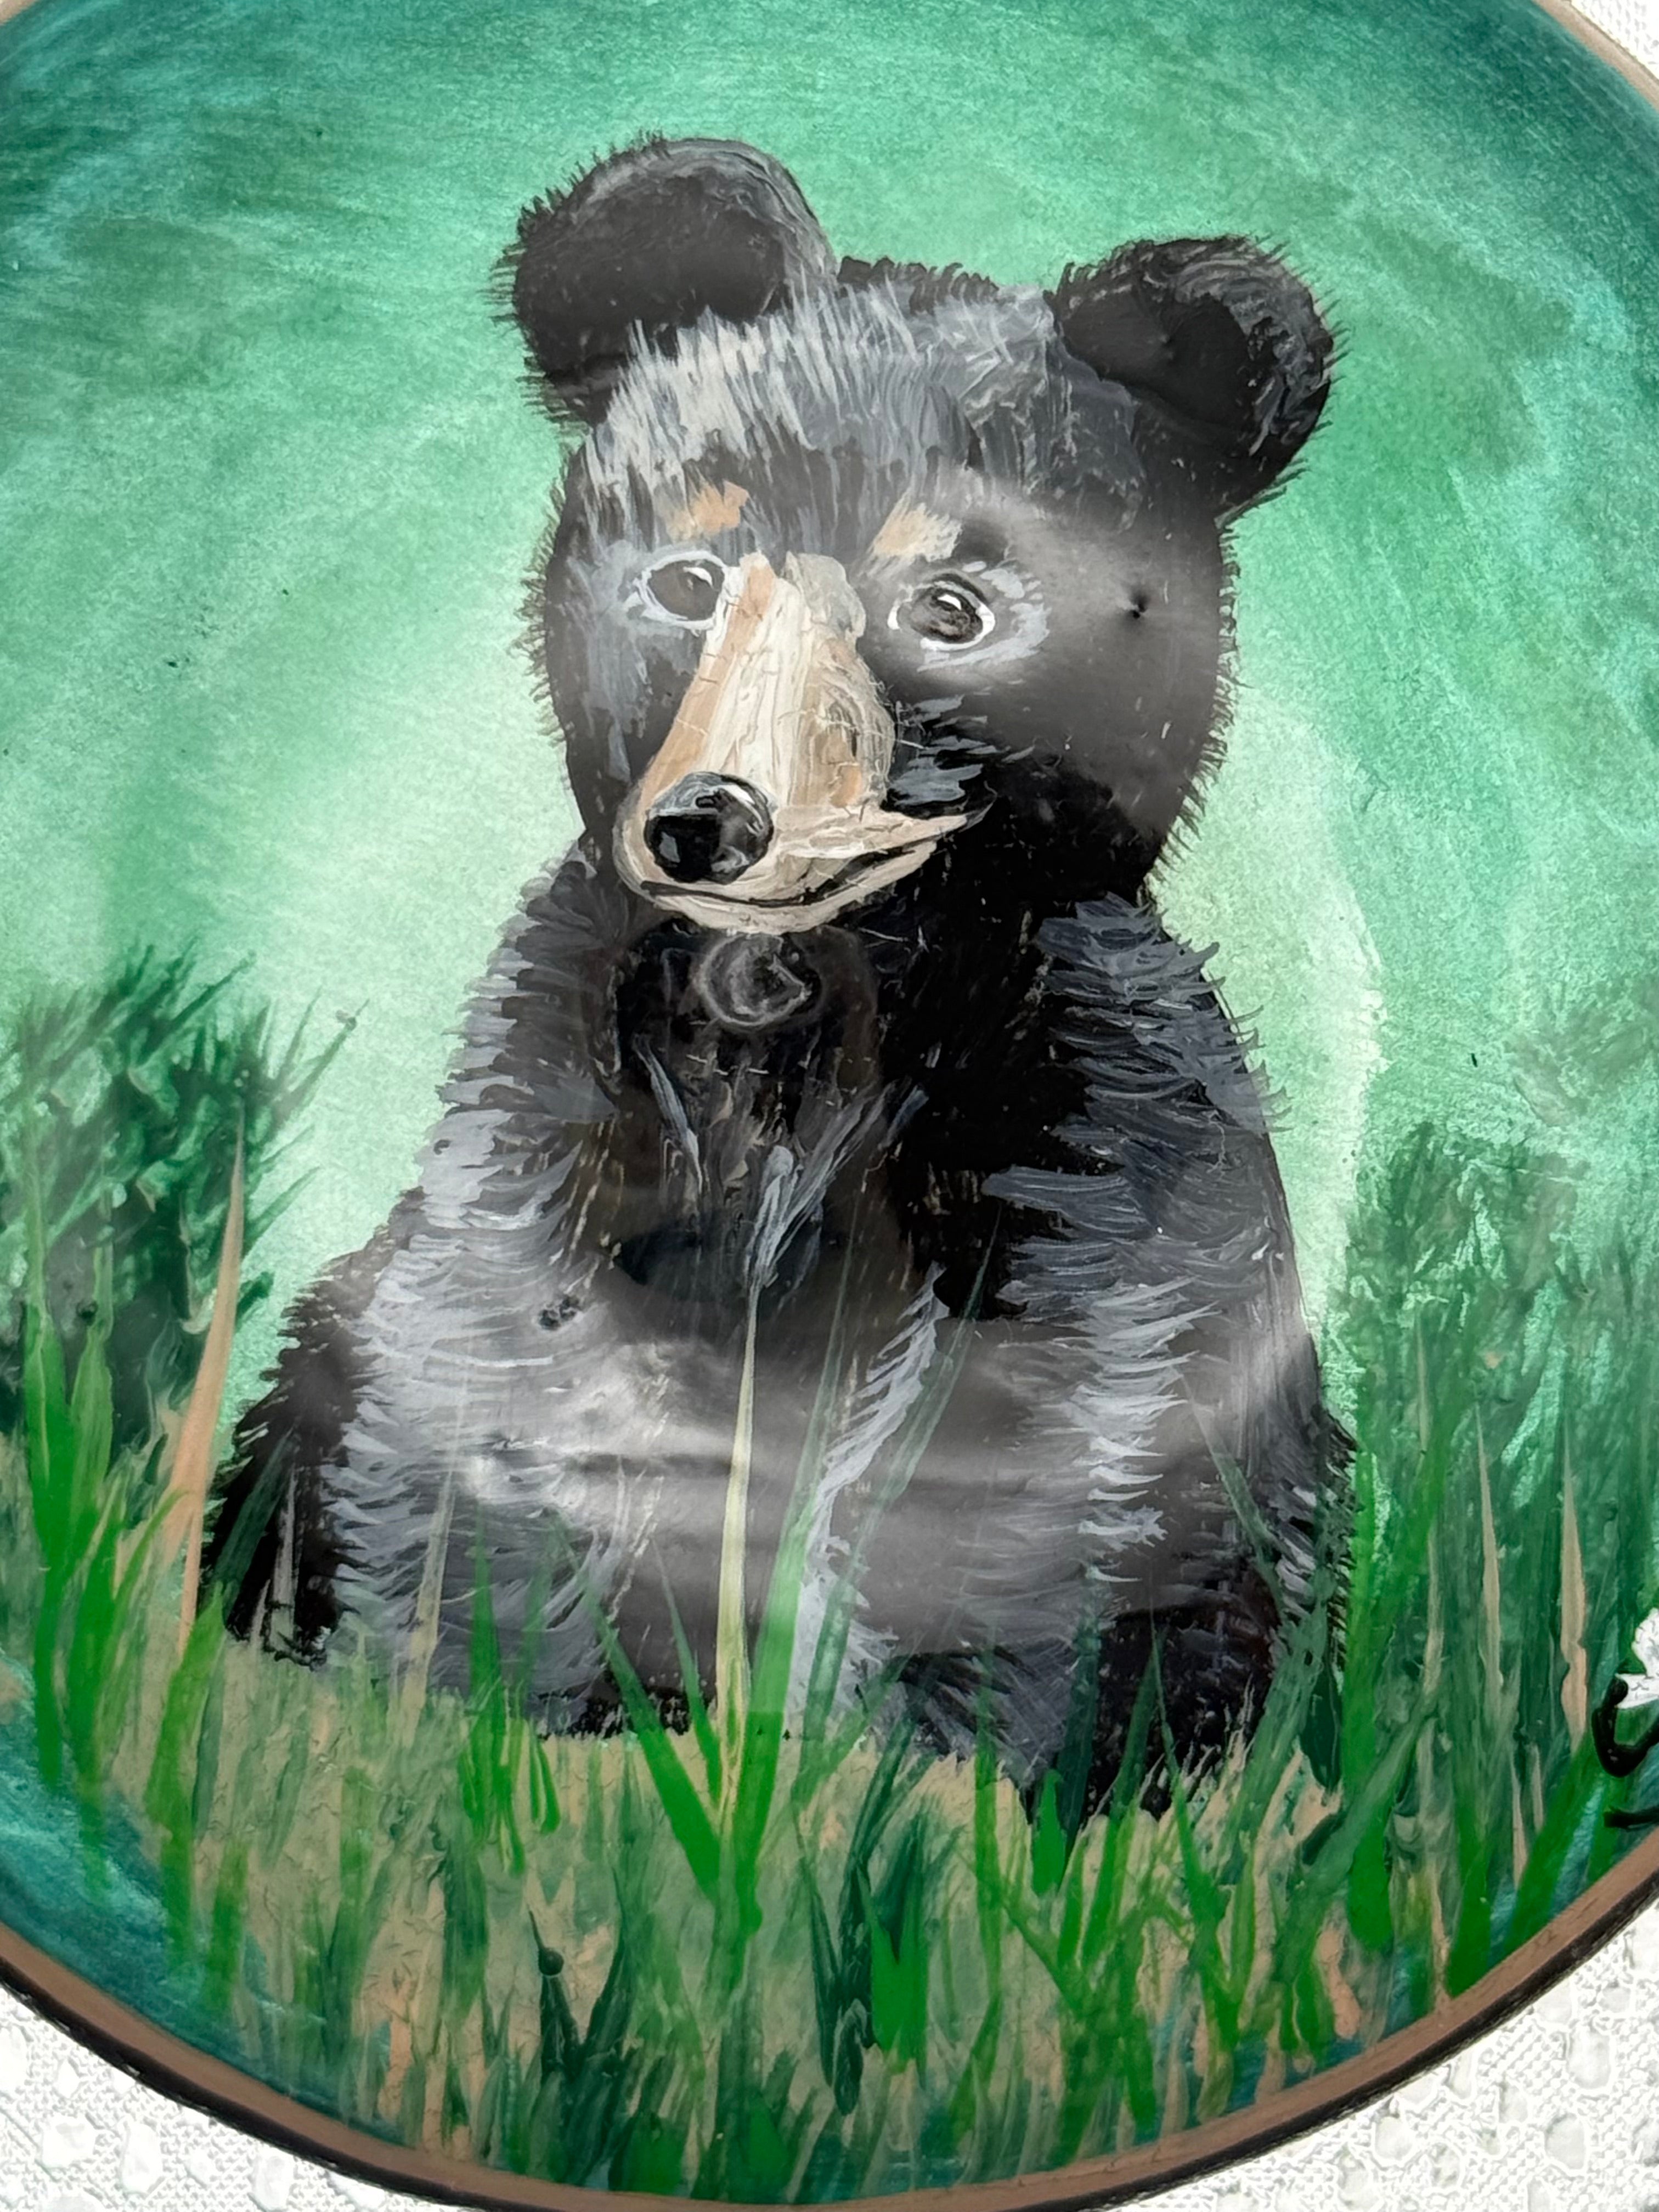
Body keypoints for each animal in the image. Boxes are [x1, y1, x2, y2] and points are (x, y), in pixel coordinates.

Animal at [206, 136, 1343, 1818]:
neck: (806, 996)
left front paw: (917, 1794)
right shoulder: (560, 1069)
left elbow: (1040, 1449)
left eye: (953, 608)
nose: (710, 822)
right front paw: (473, 1732)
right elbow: (500, 1368)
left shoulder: (1089, 1111)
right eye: (688, 577)